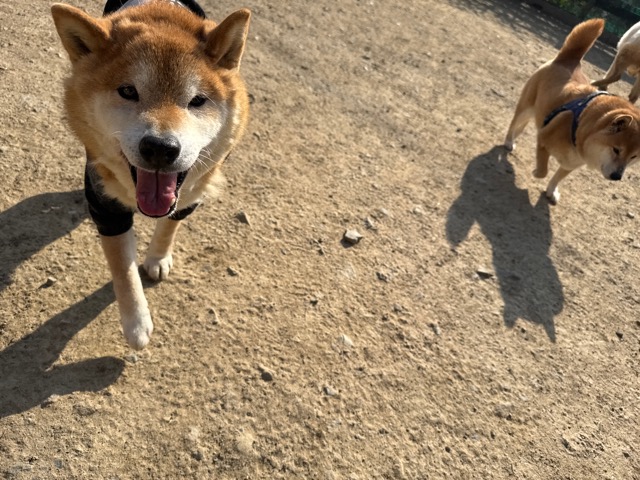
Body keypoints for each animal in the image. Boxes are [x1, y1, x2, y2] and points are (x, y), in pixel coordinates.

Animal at [51, 0, 251, 349]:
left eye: (198, 100)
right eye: (128, 91)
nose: (160, 148)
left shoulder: (190, 196)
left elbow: (169, 227)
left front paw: (157, 259)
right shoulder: (107, 209)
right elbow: (123, 269)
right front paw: (136, 324)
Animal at [504, 19, 640, 205]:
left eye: (633, 157)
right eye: (616, 150)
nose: (616, 177)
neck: (581, 124)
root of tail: (568, 60)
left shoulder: (572, 163)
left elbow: (557, 177)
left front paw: (551, 191)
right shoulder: (543, 140)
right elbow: (543, 171)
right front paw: (536, 173)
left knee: (522, 126)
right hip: (525, 107)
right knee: (514, 124)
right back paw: (509, 141)